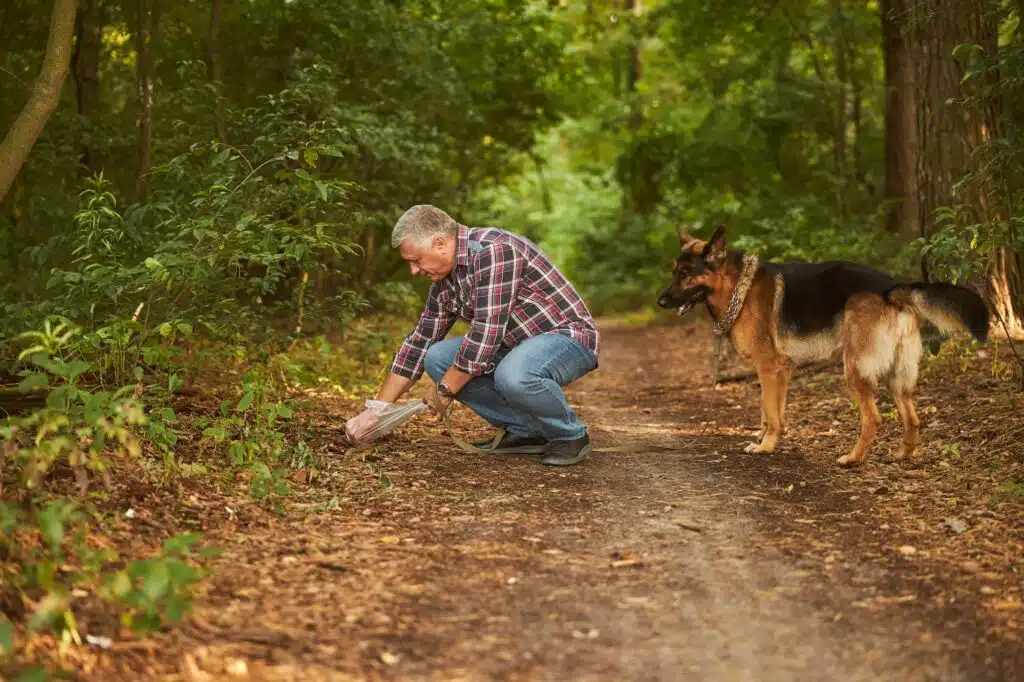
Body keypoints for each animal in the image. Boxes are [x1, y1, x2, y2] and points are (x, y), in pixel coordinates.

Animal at [659, 225, 987, 464]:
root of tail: (891, 288)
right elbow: (771, 412)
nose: (660, 302)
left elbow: (769, 413)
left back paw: (853, 459)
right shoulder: (781, 371)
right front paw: (767, 440)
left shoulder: (768, 368)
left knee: (873, 418)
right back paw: (903, 455)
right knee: (913, 419)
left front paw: (765, 447)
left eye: (685, 275)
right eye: (674, 272)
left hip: (855, 369)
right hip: (898, 377)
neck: (740, 287)